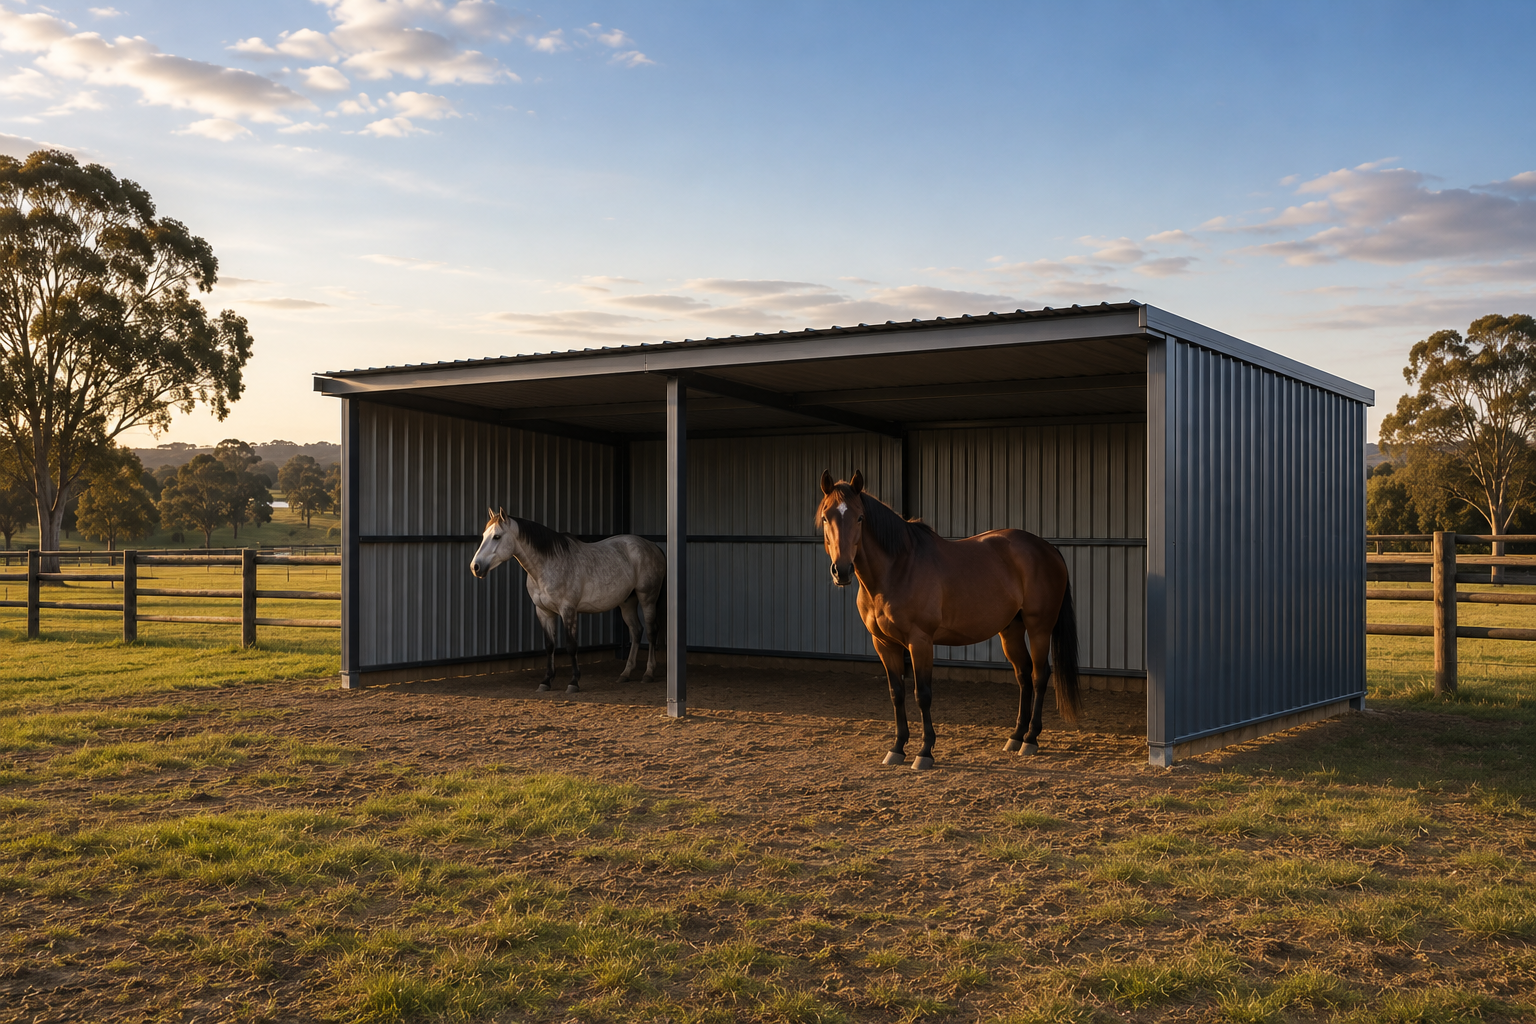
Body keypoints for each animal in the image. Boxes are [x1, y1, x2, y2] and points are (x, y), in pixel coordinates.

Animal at [469, 508, 665, 693]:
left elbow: (571, 646)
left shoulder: (568, 610)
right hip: (627, 601)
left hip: (647, 598)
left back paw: (648, 673)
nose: (475, 567)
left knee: (651, 632)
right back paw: (625, 673)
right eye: (484, 536)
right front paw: (546, 682)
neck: (546, 565)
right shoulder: (543, 611)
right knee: (636, 631)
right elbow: (550, 646)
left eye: (497, 536)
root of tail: (652, 546)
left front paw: (573, 683)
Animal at [816, 470, 1080, 769]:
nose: (842, 571)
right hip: (1011, 629)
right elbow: (897, 694)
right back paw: (1015, 737)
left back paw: (1031, 739)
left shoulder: (920, 642)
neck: (897, 569)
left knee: (1039, 675)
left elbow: (922, 694)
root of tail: (1048, 548)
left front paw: (924, 752)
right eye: (825, 517)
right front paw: (897, 748)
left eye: (860, 517)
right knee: (1023, 674)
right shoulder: (884, 644)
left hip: (1039, 628)